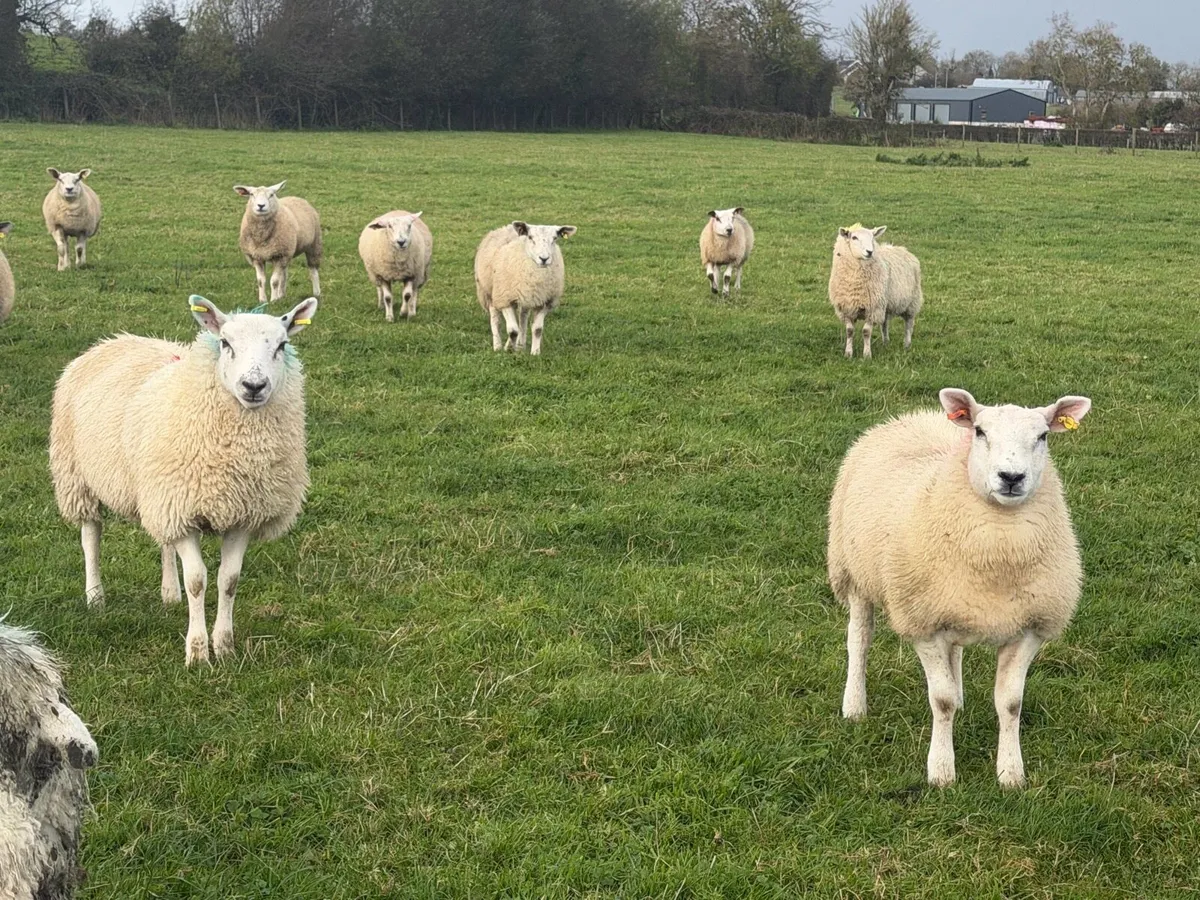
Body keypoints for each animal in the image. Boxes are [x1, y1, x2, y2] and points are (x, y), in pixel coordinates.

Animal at [49, 294, 318, 667]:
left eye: (282, 345)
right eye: (225, 343)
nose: (253, 386)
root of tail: (114, 340)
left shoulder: (240, 515)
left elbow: (228, 580)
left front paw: (225, 646)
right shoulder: (182, 510)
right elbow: (197, 581)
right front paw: (198, 652)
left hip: (159, 492)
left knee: (163, 540)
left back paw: (169, 593)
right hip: (77, 477)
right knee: (91, 535)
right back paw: (95, 596)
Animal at [474, 221, 576, 355]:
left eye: (555, 238)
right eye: (530, 237)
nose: (544, 259)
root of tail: (505, 227)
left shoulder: (544, 301)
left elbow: (537, 329)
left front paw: (535, 353)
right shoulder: (505, 298)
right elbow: (512, 330)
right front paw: (508, 349)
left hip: (525, 296)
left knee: (523, 319)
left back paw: (520, 345)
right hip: (489, 292)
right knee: (495, 319)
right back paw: (498, 346)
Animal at [827, 223, 923, 359]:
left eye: (872, 237)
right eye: (854, 237)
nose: (870, 252)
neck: (856, 285)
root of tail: (900, 248)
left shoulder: (873, 308)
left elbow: (866, 332)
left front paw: (867, 355)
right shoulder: (847, 309)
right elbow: (849, 331)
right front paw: (848, 353)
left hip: (912, 301)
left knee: (909, 324)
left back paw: (907, 344)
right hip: (885, 304)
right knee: (885, 323)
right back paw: (886, 342)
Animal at [827, 388, 1092, 787]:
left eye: (1043, 436)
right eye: (980, 432)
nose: (1011, 476)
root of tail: (914, 416)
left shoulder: (1029, 627)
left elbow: (1010, 703)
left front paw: (1011, 773)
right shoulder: (923, 622)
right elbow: (941, 701)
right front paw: (941, 772)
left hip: (953, 602)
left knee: (955, 653)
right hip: (854, 572)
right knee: (859, 640)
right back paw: (854, 705)